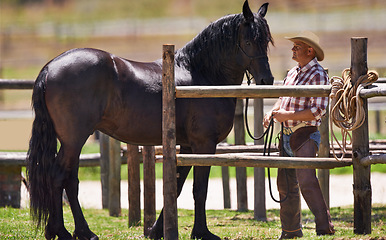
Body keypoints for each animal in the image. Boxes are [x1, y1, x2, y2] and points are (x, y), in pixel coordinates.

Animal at [27, 0, 272, 239]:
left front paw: (156, 231)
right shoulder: (204, 145)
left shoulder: (187, 145)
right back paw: (69, 232)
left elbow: (177, 186)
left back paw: (71, 231)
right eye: (249, 41)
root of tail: (51, 67)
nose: (266, 80)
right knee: (60, 177)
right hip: (74, 140)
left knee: (68, 179)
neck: (202, 75)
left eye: (266, 41)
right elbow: (199, 189)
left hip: (71, 142)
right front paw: (201, 232)